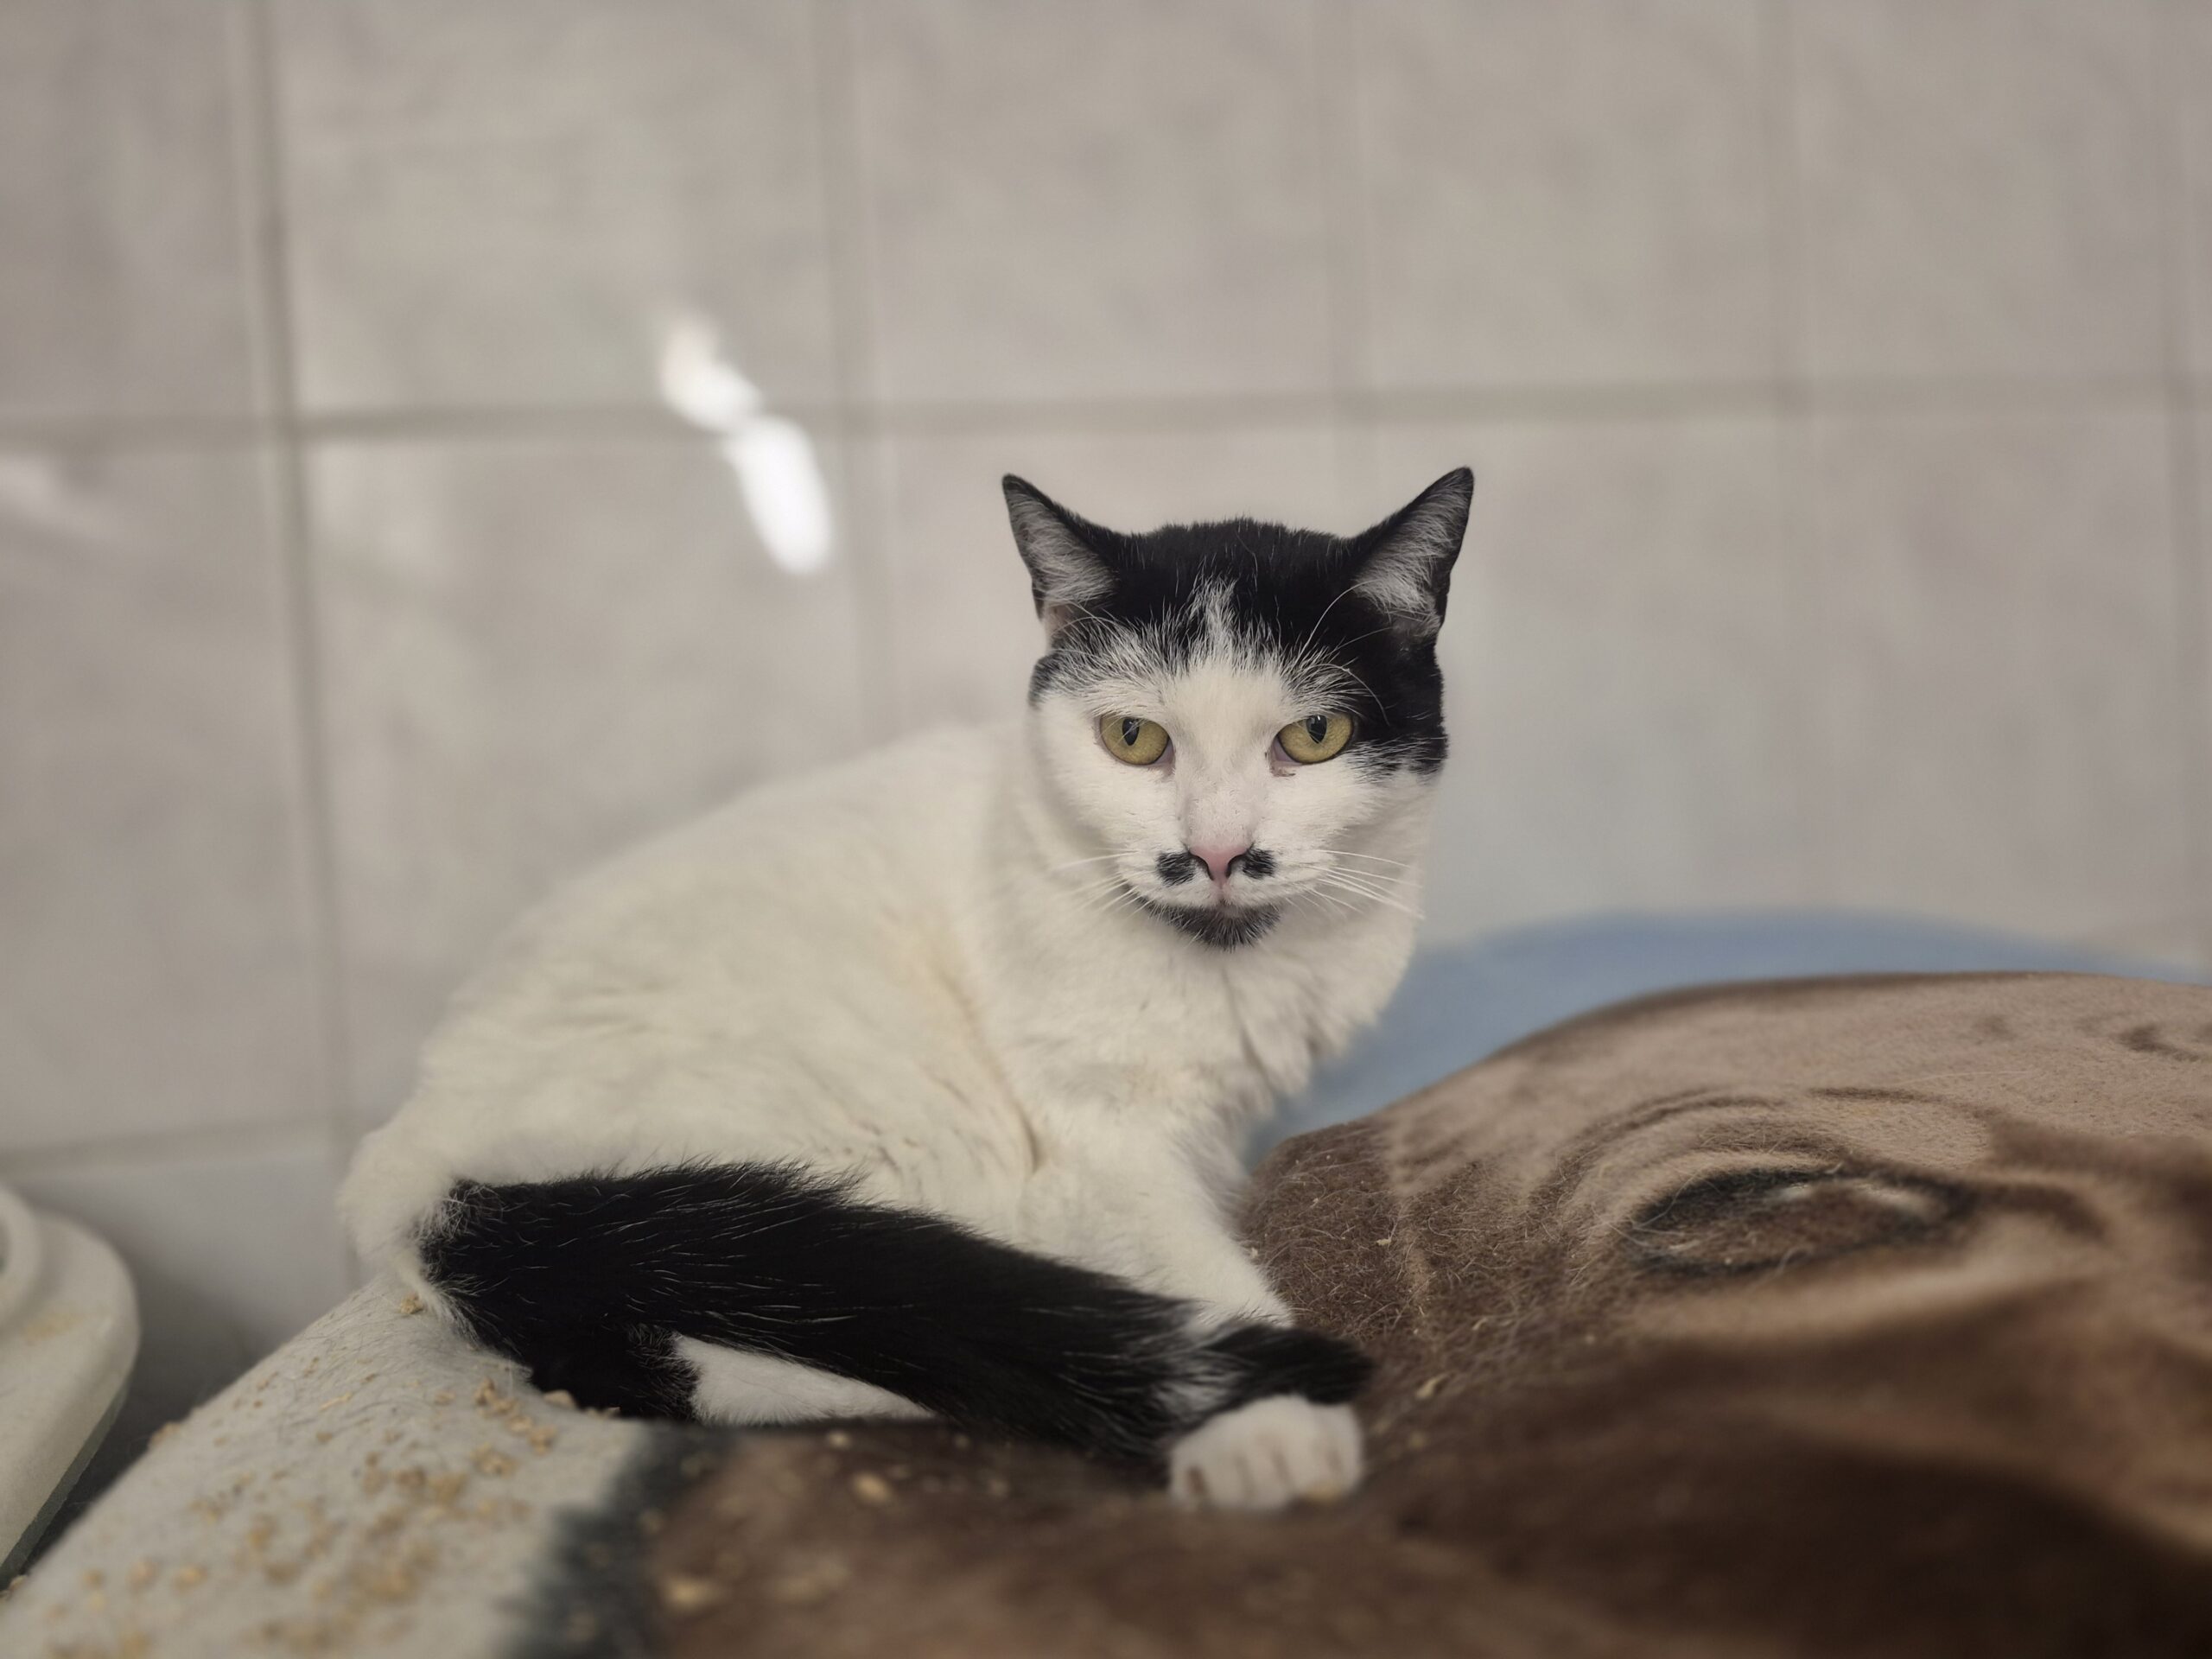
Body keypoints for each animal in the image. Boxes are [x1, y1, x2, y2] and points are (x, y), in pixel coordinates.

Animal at [340, 466, 1472, 1510]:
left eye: (1313, 739)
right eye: (1134, 740)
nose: (1218, 851)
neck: (1232, 967)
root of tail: (408, 1154)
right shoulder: (1095, 1143)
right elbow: (1186, 1259)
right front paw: (1268, 1425)